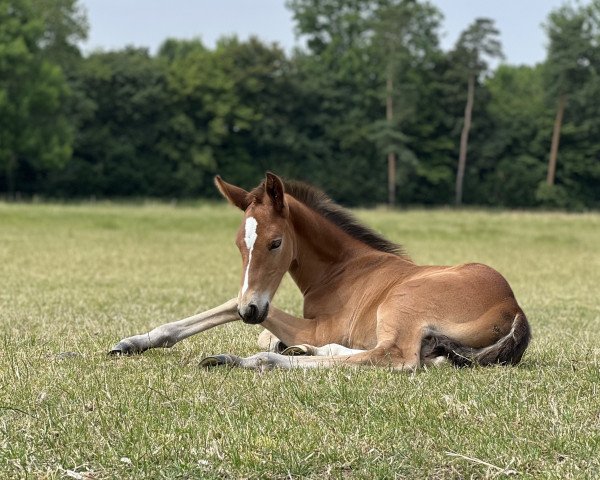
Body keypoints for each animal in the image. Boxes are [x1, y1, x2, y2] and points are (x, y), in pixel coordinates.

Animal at [110, 172, 532, 372]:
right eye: (239, 244)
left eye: (275, 242)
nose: (252, 310)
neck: (342, 269)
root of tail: (514, 309)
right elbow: (254, 323)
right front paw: (131, 343)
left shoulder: (316, 325)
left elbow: (234, 305)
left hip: (402, 303)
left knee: (393, 358)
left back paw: (245, 360)